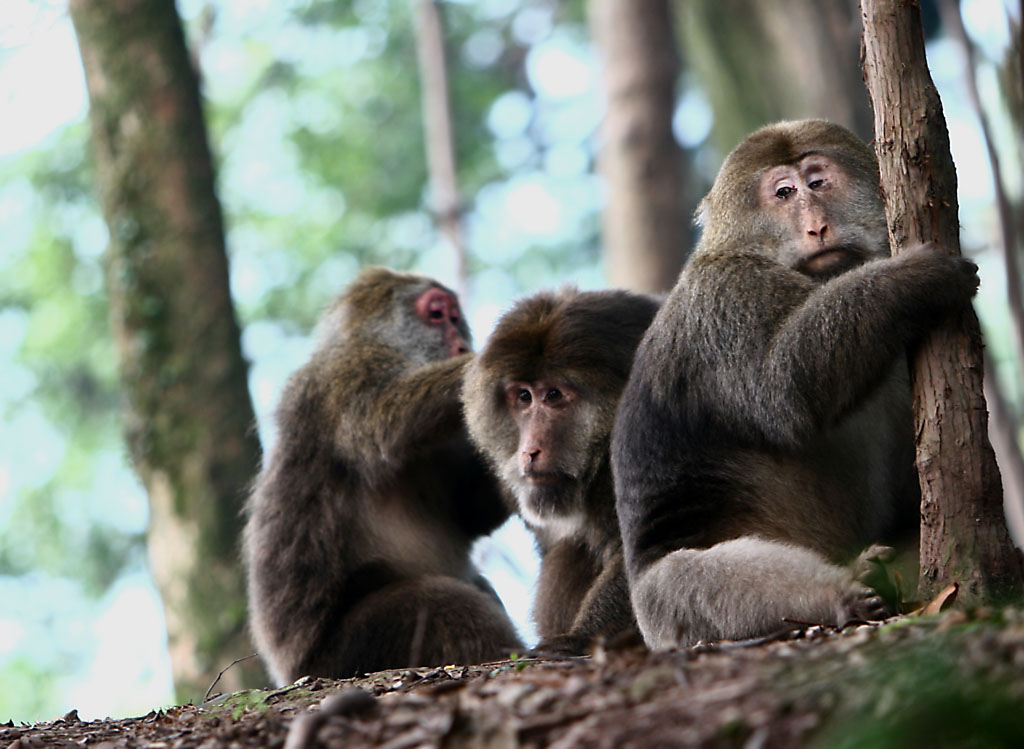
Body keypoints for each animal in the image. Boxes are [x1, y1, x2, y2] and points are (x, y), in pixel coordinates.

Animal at [244, 266, 524, 684]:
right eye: (438, 315)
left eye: (455, 318)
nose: (460, 345)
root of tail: (294, 674)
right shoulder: (350, 373)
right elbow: (384, 421)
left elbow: (469, 514)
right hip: (348, 652)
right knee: (443, 605)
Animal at [610, 119, 978, 647]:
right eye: (784, 193)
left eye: (818, 182)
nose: (816, 226)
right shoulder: (725, 299)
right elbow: (785, 391)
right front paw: (910, 280)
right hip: (661, 622)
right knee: (679, 579)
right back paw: (843, 593)